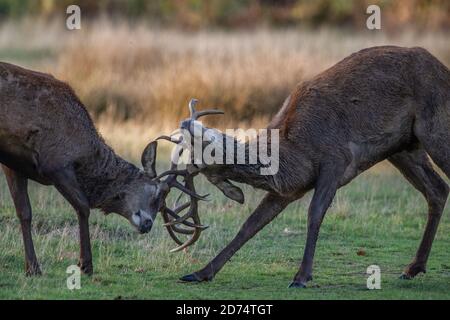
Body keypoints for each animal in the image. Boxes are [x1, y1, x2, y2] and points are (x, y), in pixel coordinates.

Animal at [0, 62, 207, 276]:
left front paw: (32, 268)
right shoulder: (55, 161)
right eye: (157, 193)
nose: (148, 224)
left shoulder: (15, 164)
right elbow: (83, 206)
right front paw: (85, 265)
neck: (82, 152)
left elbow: (24, 212)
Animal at [162, 46, 450, 288]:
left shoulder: (336, 159)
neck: (293, 154)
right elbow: (251, 224)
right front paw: (200, 273)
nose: (185, 123)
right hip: (403, 148)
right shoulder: (289, 190)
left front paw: (301, 276)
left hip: (434, 128)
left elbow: (314, 213)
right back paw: (413, 268)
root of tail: (442, 68)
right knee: (437, 189)